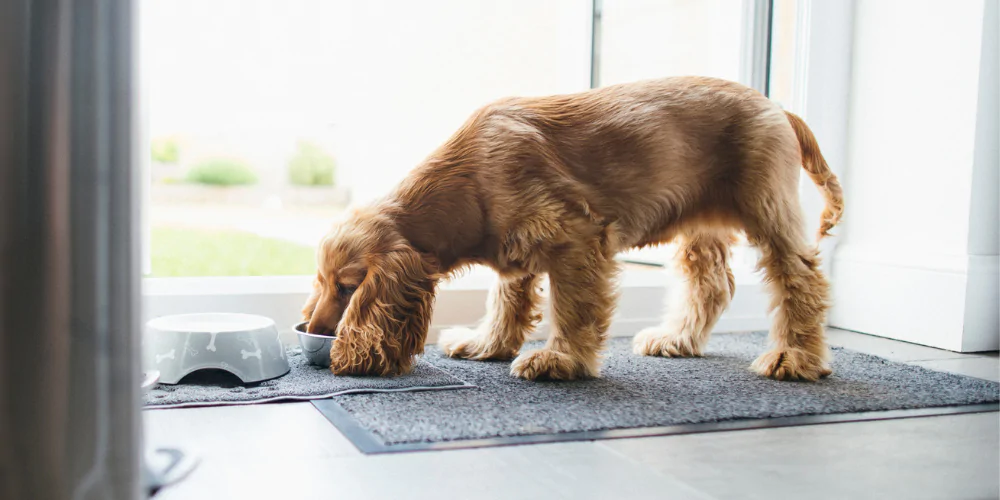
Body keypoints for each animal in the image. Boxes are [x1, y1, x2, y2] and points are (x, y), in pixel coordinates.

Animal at [302, 77, 844, 382]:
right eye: (321, 283)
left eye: (348, 288)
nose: (313, 331)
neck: (469, 178)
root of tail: (778, 108)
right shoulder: (516, 248)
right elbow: (506, 300)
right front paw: (487, 344)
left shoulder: (578, 239)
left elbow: (573, 309)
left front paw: (561, 362)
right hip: (701, 226)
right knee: (712, 284)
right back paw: (677, 339)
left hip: (768, 208)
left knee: (802, 280)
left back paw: (795, 357)